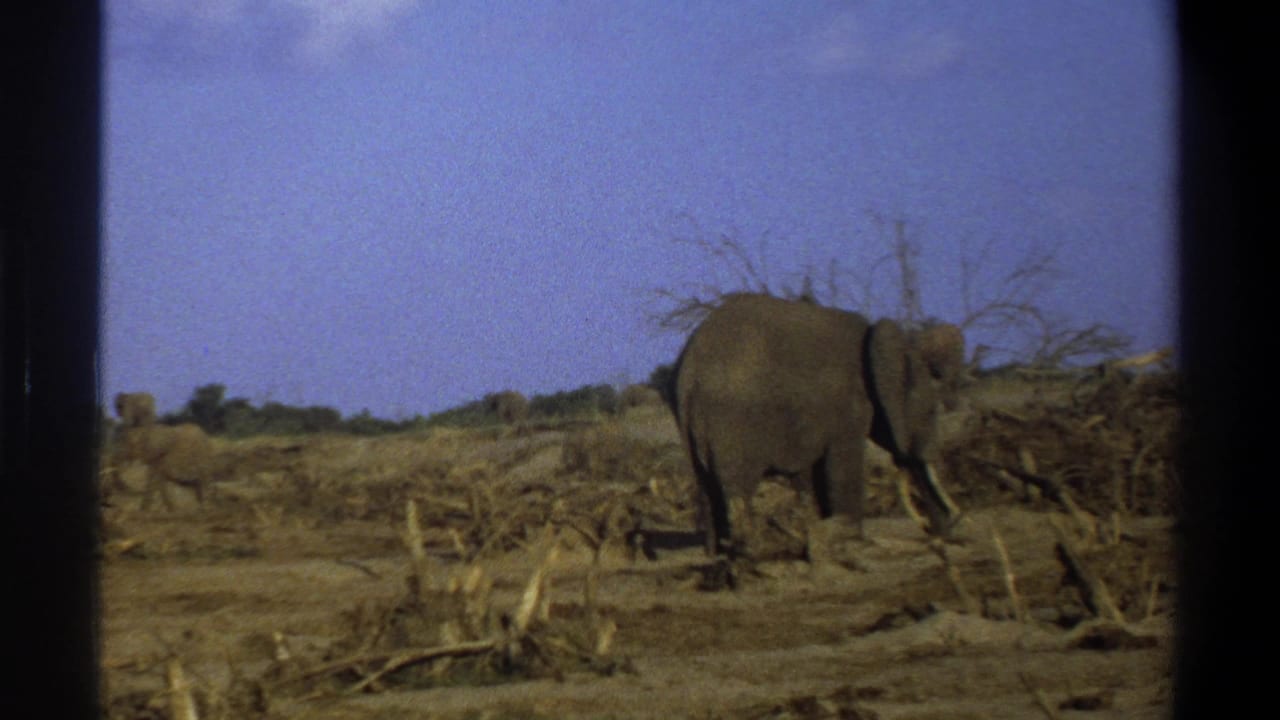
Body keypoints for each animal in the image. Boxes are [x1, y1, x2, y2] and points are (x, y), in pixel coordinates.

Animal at [668, 293, 964, 563]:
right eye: (930, 412)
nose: (942, 533)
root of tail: (689, 372)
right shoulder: (847, 404)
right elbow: (842, 465)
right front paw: (852, 538)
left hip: (692, 427)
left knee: (708, 488)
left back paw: (718, 553)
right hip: (732, 422)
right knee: (737, 488)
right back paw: (749, 551)